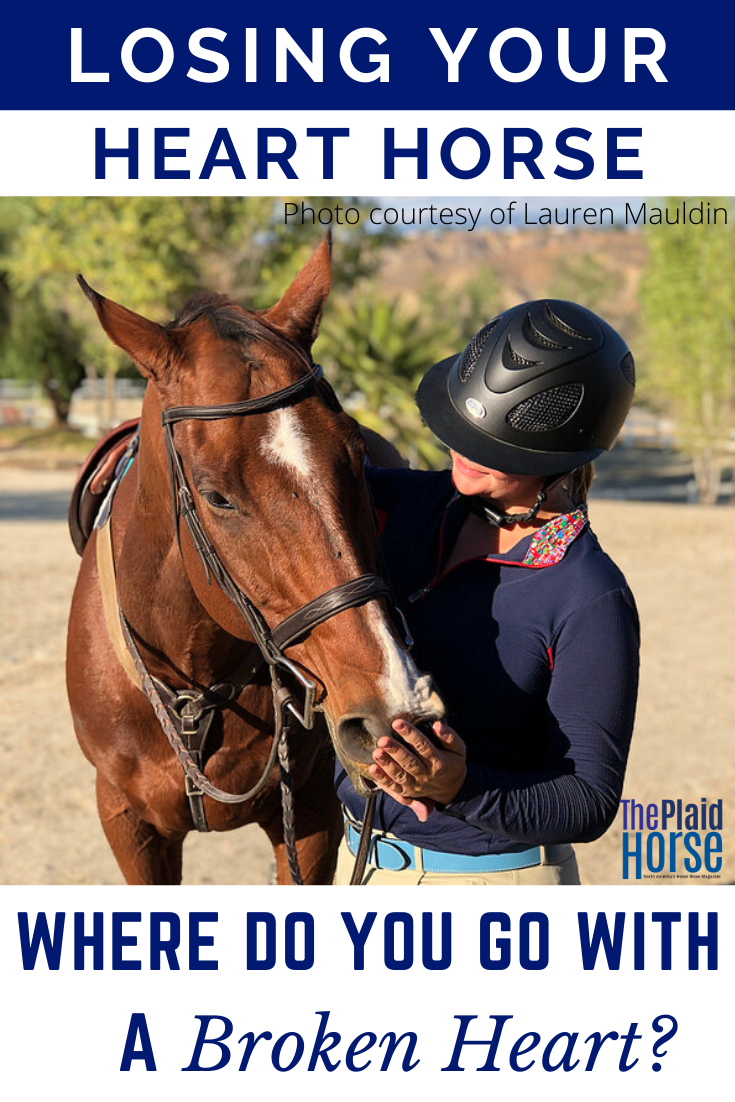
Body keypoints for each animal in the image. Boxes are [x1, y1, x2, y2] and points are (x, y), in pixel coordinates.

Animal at [66, 237, 443, 885]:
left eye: (357, 457)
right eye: (216, 495)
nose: (394, 711)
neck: (190, 681)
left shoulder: (312, 816)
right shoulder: (127, 822)